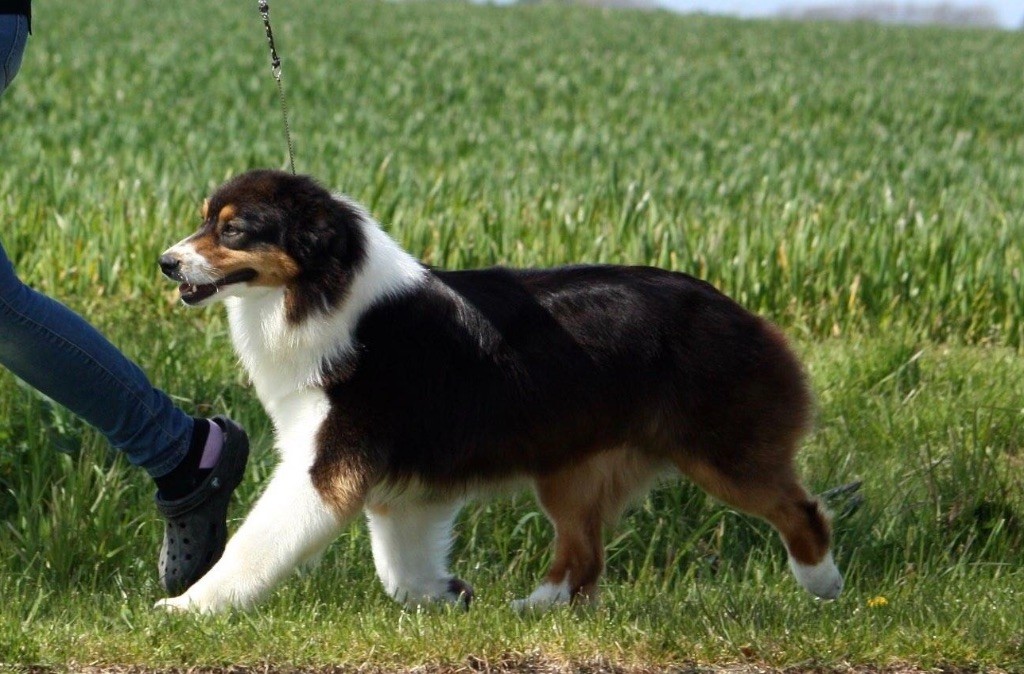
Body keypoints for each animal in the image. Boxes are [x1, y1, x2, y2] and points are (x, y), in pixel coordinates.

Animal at [155, 171, 843, 610]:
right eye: (204, 219)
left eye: (234, 230)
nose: (166, 261)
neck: (323, 289)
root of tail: (739, 311)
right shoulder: (406, 485)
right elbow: (399, 565)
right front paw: (443, 596)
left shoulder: (325, 465)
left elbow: (257, 545)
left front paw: (192, 606)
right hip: (570, 469)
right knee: (584, 555)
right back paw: (533, 607)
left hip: (721, 452)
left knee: (800, 508)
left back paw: (823, 585)